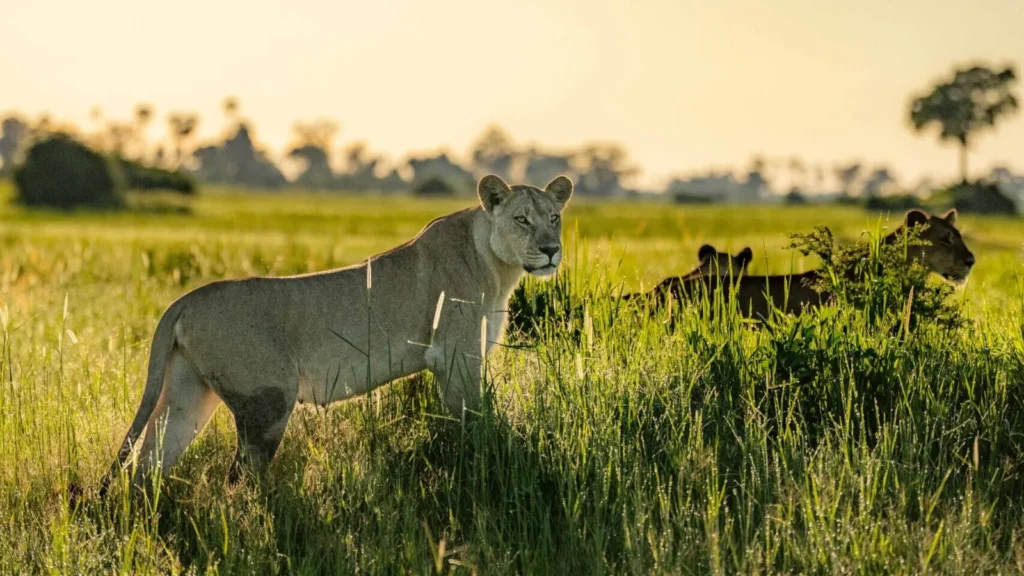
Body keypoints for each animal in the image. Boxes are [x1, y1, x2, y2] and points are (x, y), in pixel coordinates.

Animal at [103, 174, 574, 487]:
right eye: (522, 220)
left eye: (554, 218)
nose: (551, 250)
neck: (497, 266)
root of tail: (184, 300)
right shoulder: (456, 355)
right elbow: (473, 420)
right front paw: (477, 461)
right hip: (268, 400)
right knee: (238, 479)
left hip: (188, 393)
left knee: (149, 461)